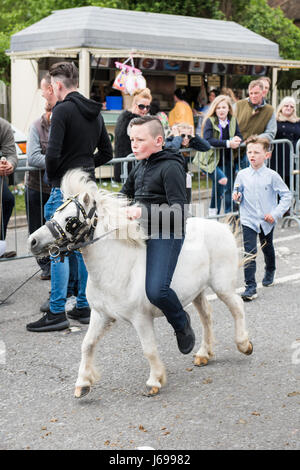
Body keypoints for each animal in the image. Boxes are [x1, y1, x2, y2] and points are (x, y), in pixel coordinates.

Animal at [29, 169, 252, 396]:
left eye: (70, 219)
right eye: (54, 214)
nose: (32, 241)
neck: (115, 266)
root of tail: (222, 226)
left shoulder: (141, 318)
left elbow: (149, 349)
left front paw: (154, 381)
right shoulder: (100, 314)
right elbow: (87, 344)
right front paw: (83, 383)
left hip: (221, 286)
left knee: (237, 307)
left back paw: (243, 344)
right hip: (197, 291)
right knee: (207, 316)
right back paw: (204, 353)